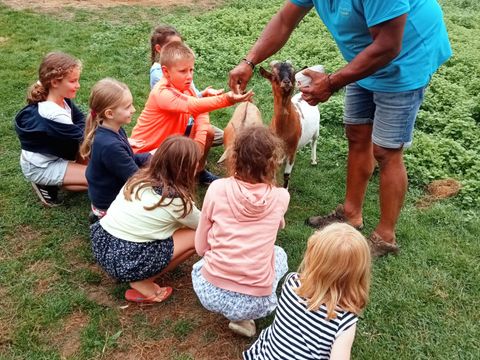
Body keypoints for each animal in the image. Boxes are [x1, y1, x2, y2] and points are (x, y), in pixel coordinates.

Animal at [260, 60, 320, 188]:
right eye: (274, 76)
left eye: (293, 75)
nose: (286, 82)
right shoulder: (275, 152)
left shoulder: (291, 151)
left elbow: (286, 176)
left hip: (317, 129)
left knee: (314, 142)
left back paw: (313, 161)